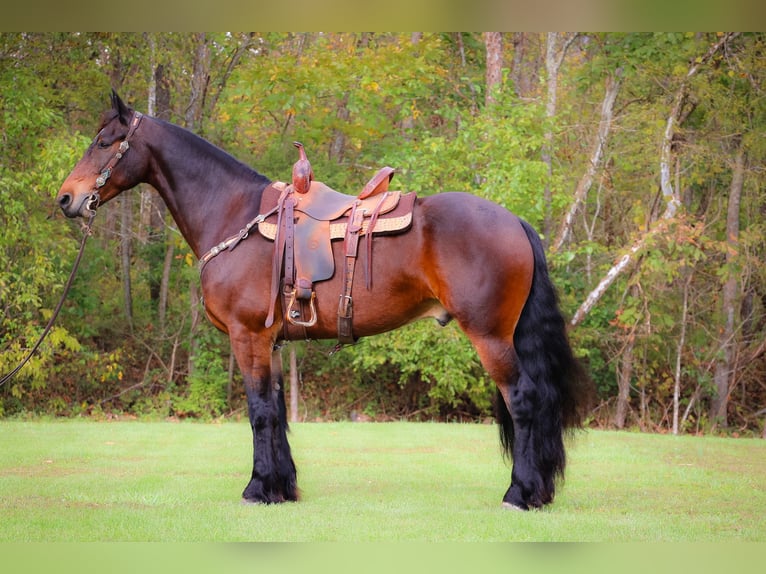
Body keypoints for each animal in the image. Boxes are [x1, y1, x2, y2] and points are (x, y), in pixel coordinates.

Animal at [57, 92, 592, 510]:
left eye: (104, 142)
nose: (65, 198)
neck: (234, 214)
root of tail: (514, 221)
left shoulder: (247, 337)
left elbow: (259, 411)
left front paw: (257, 488)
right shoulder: (270, 342)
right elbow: (276, 410)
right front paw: (281, 488)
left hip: (490, 336)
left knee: (523, 400)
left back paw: (520, 494)